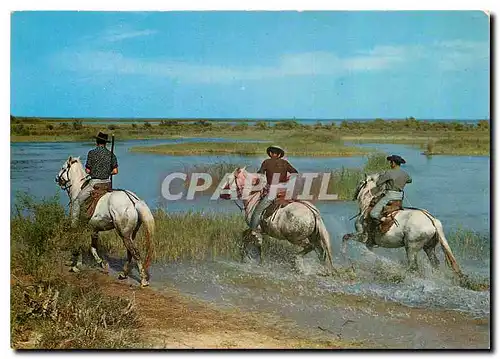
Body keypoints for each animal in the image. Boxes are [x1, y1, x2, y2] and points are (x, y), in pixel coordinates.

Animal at [54, 156, 154, 288]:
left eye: (63, 168)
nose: (57, 178)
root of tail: (133, 201)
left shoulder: (77, 226)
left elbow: (79, 244)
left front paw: (75, 265)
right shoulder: (94, 229)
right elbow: (93, 248)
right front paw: (101, 263)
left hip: (124, 233)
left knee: (135, 253)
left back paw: (143, 280)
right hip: (130, 234)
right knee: (130, 252)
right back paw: (123, 274)